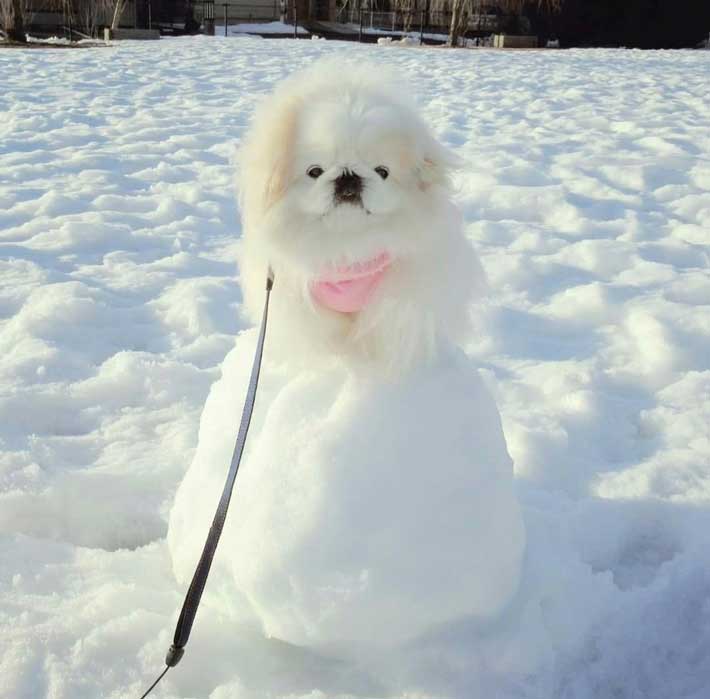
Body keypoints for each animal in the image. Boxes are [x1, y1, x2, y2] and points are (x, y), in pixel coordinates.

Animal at [168, 57, 528, 692]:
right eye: (315, 171)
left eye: (382, 170)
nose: (348, 178)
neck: (347, 247)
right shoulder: (298, 293)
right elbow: (324, 340)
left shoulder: (400, 293)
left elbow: (382, 333)